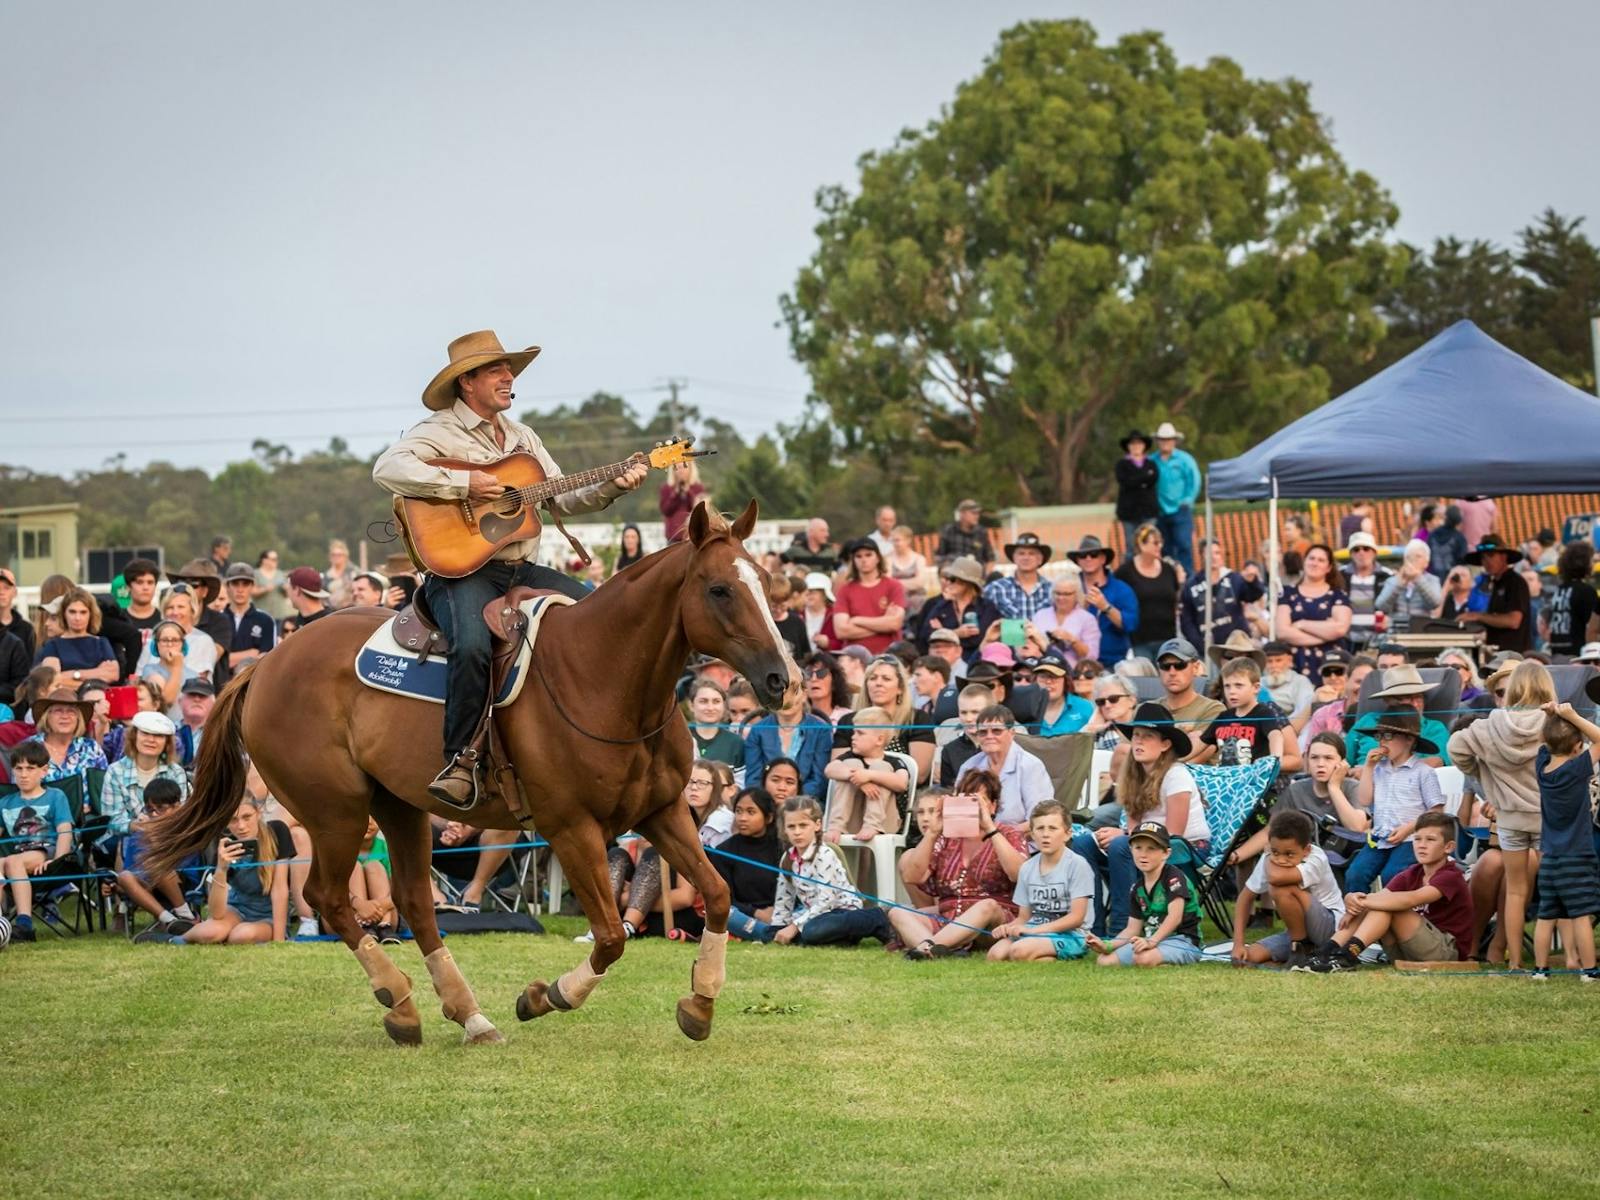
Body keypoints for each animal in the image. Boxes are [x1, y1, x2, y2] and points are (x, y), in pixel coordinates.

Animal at [141, 499, 797, 1046]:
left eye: (766, 584)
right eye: (720, 589)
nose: (780, 679)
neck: (601, 678)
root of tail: (266, 666)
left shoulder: (661, 811)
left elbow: (716, 893)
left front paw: (700, 1003)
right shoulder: (571, 828)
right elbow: (611, 936)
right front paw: (545, 996)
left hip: (398, 806)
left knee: (413, 902)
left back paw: (467, 1015)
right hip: (336, 812)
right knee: (327, 898)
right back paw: (401, 1000)